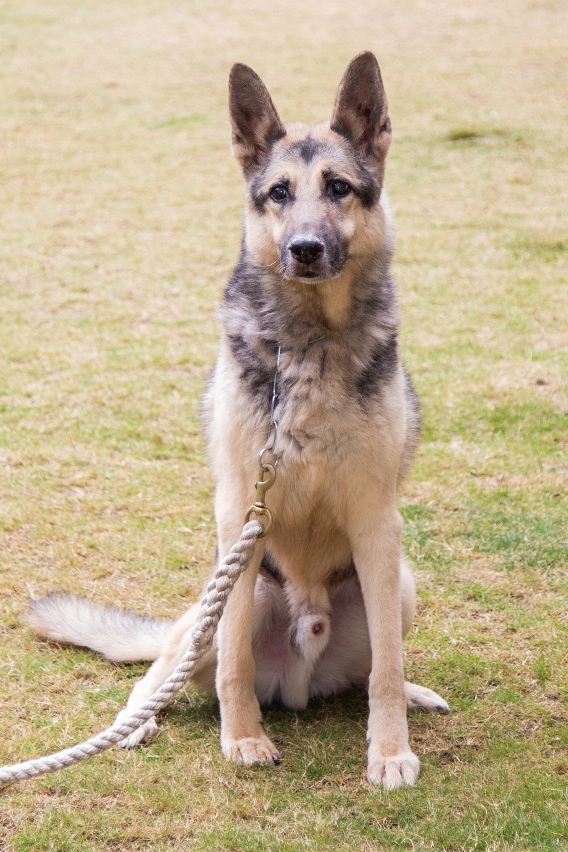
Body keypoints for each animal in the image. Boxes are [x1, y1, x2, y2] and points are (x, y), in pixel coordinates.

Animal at [28, 52, 448, 790]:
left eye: (339, 187)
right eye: (278, 193)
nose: (305, 248)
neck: (308, 343)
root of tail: (302, 676)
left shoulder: (377, 524)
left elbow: (387, 673)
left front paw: (390, 750)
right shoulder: (239, 517)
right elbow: (233, 662)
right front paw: (243, 738)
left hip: (397, 585)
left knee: (370, 669)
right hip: (233, 597)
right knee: (164, 669)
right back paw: (135, 723)